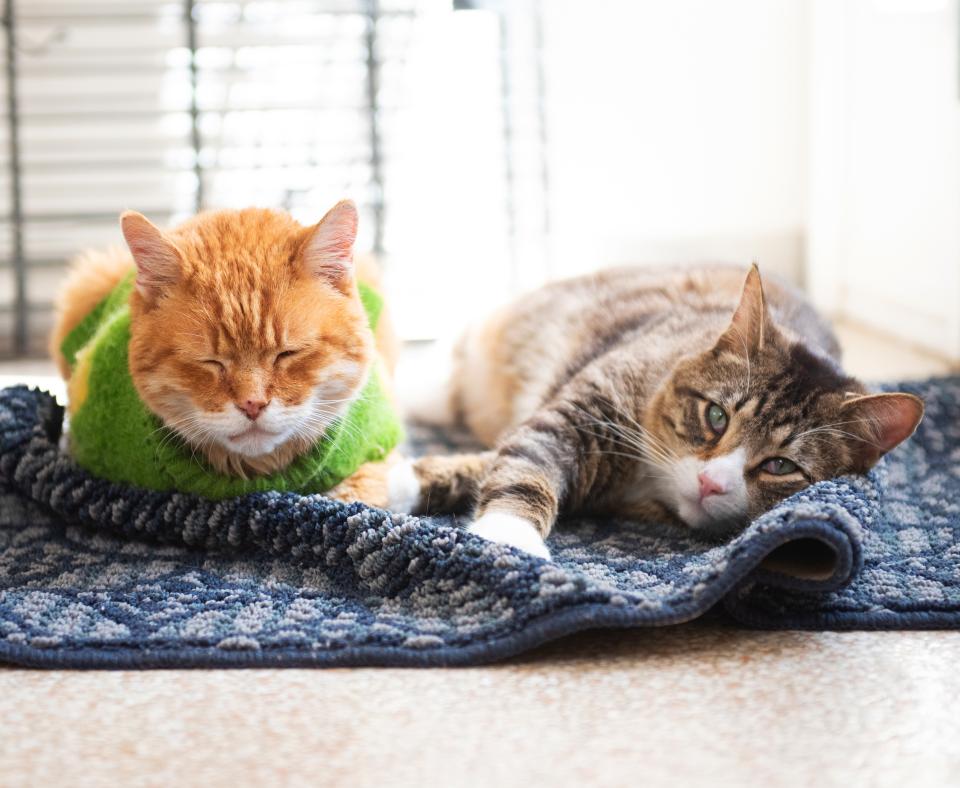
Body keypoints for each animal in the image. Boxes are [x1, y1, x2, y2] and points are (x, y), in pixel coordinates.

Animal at [390, 266, 924, 560]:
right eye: (716, 416)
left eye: (780, 466)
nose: (710, 482)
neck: (648, 483)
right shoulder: (577, 416)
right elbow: (524, 463)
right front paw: (508, 537)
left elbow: (496, 462)